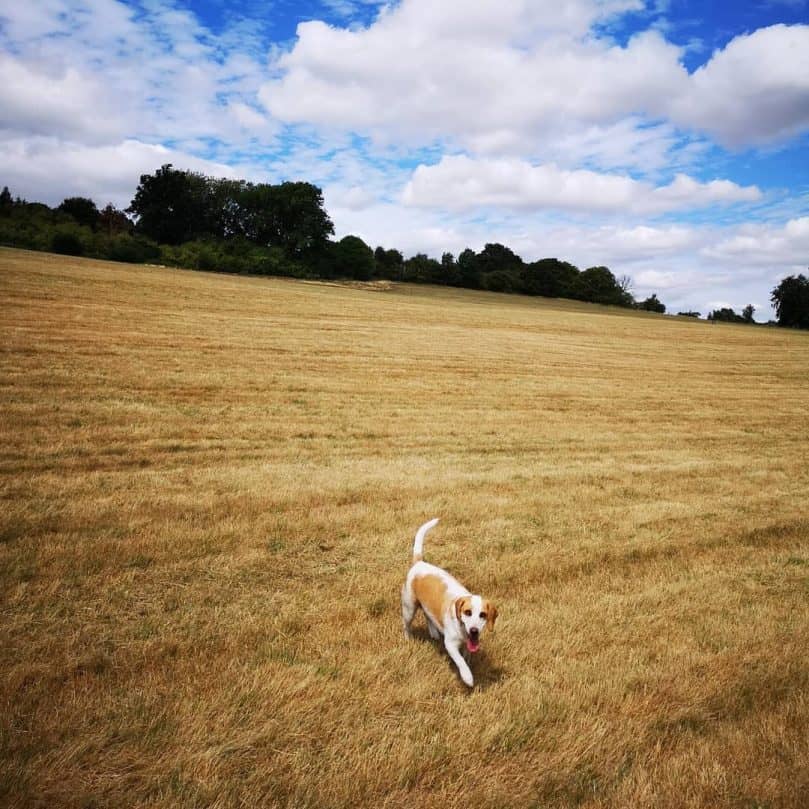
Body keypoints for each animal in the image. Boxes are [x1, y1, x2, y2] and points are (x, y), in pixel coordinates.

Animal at [400, 520, 496, 684]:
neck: (463, 630)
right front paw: (467, 676)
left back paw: (433, 633)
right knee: (407, 625)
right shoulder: (450, 644)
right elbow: (460, 661)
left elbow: (467, 655)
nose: (474, 630)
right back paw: (408, 639)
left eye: (483, 614)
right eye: (467, 612)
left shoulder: (469, 643)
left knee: (427, 614)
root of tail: (419, 563)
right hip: (409, 608)